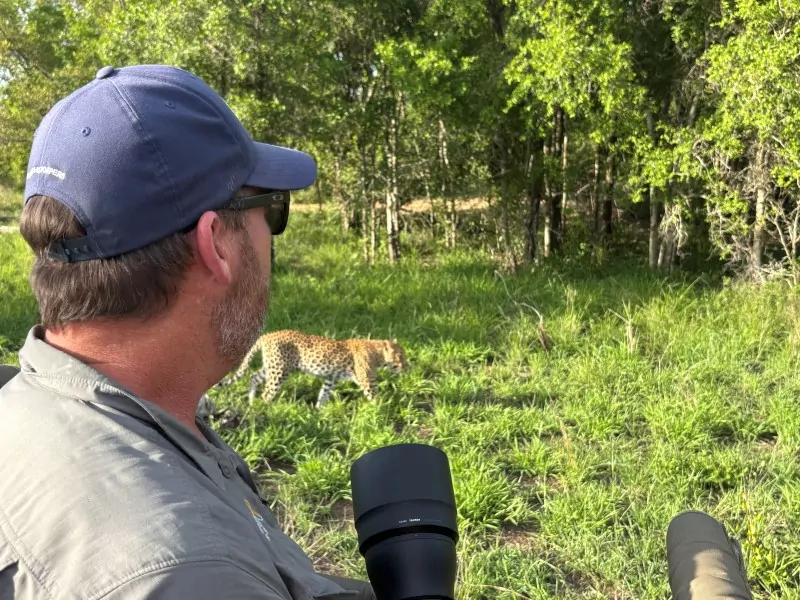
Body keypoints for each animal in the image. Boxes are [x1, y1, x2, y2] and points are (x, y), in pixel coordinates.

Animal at [214, 330, 409, 408]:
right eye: (401, 356)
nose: (408, 366)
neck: (377, 353)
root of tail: (266, 335)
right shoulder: (368, 381)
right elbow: (375, 397)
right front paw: (381, 411)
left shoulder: (331, 378)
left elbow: (323, 394)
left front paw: (318, 412)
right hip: (279, 371)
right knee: (267, 393)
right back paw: (265, 409)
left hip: (272, 366)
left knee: (253, 377)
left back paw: (251, 403)